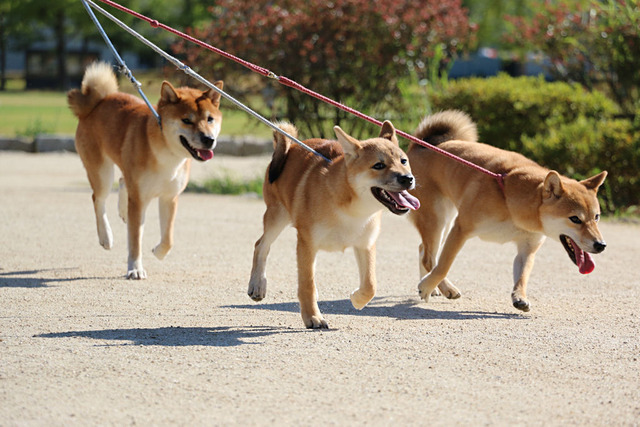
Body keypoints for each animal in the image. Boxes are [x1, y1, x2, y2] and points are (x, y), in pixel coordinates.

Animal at [69, 61, 224, 280]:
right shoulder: (140, 199)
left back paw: (123, 211)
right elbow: (135, 240)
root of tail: (97, 103)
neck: (167, 155)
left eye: (210, 119)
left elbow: (168, 239)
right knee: (98, 199)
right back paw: (106, 236)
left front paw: (158, 252)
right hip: (102, 173)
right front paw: (135, 268)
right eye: (187, 120)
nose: (209, 139)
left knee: (123, 182)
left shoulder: (169, 197)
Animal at [249, 122, 420, 330]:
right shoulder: (307, 244)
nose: (407, 178)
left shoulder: (365, 245)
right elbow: (307, 284)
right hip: (277, 216)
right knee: (261, 245)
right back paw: (257, 285)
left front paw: (357, 299)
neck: (351, 210)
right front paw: (313, 317)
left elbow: (370, 285)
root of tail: (292, 146)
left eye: (403, 161)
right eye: (378, 165)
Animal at [408, 110, 608, 310]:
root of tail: (421, 145)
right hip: (438, 219)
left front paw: (519, 297)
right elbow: (444, 266)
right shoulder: (461, 230)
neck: (512, 203)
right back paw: (441, 287)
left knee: (423, 250)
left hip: (445, 222)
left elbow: (522, 276)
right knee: (429, 258)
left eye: (596, 217)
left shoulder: (527, 248)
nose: (601, 245)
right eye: (575, 219)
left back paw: (434, 288)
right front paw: (426, 287)